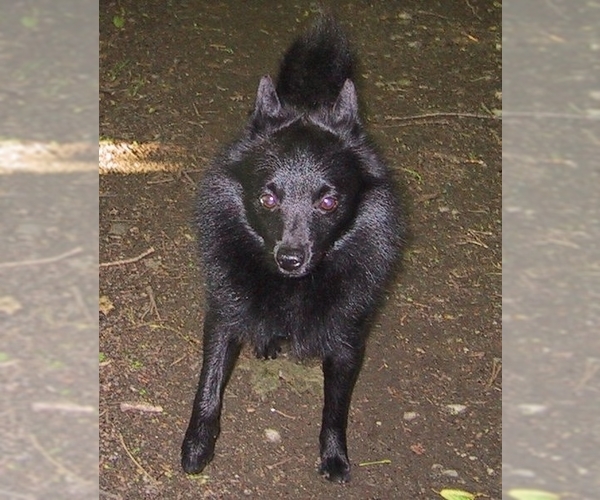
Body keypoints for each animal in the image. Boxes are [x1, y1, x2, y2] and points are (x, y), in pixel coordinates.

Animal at [179, 16, 404, 484]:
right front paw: (197, 444)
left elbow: (335, 407)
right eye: (268, 198)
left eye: (328, 201)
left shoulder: (348, 339)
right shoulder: (224, 313)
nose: (290, 258)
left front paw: (334, 455)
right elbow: (209, 383)